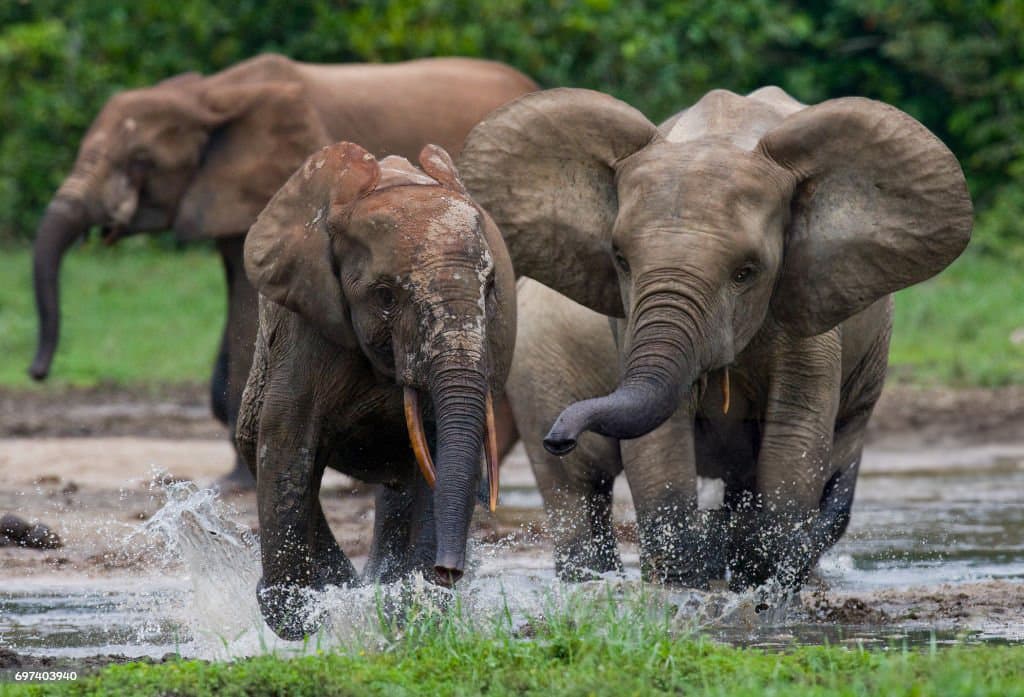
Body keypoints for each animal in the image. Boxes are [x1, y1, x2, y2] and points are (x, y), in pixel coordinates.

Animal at [235, 141, 516, 639]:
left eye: (490, 288)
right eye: (385, 296)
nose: (450, 571)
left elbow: (439, 454)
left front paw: (414, 611)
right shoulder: (306, 327)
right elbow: (287, 441)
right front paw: (298, 617)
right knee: (254, 441)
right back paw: (349, 588)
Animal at [460, 86, 972, 590]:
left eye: (747, 272)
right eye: (620, 260)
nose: (558, 436)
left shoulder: (807, 297)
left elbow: (796, 429)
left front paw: (764, 584)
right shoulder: (629, 319)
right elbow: (660, 439)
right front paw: (684, 582)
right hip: (540, 362)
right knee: (578, 485)